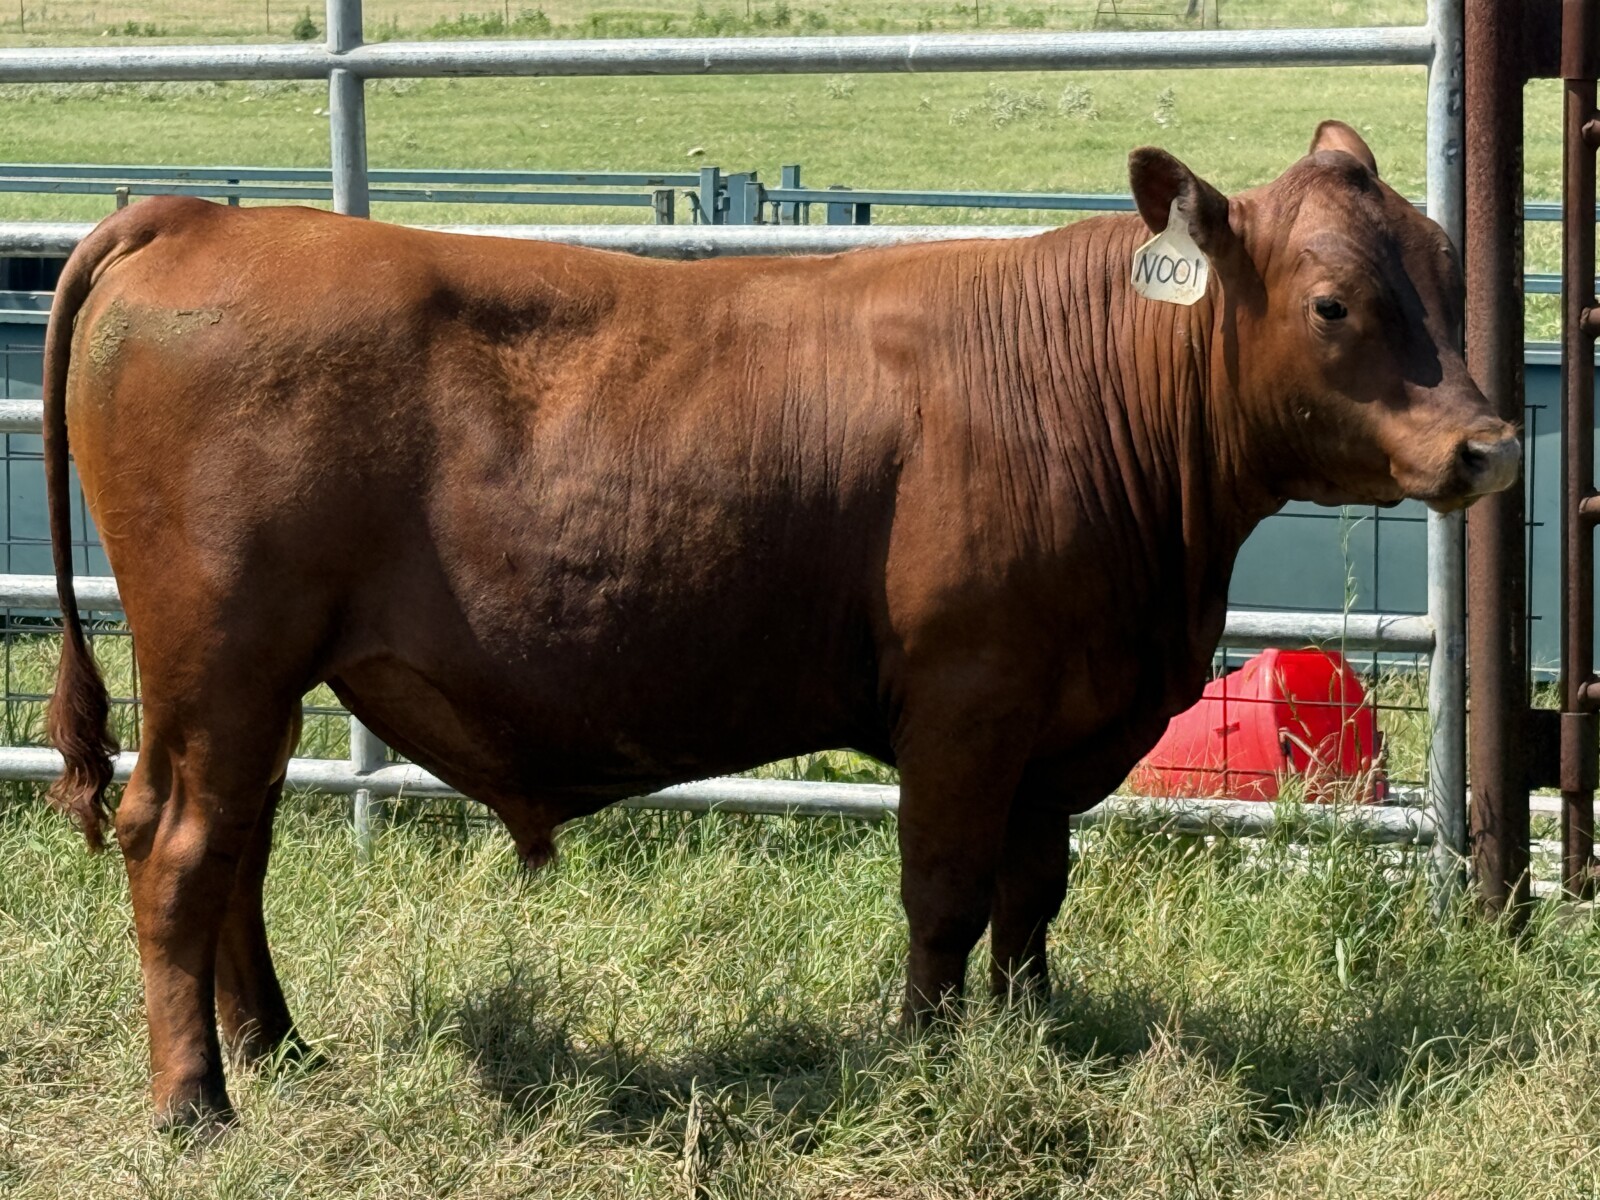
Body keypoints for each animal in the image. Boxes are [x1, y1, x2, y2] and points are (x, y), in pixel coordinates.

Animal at [42, 121, 1517, 1130]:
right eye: (1334, 304)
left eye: (1448, 274)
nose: (1488, 446)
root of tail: (193, 219)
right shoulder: (967, 701)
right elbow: (945, 891)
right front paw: (924, 1055)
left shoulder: (1061, 725)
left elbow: (1032, 894)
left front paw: (1034, 1032)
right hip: (220, 657)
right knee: (180, 850)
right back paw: (196, 1104)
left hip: (252, 684)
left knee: (237, 848)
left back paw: (277, 1049)